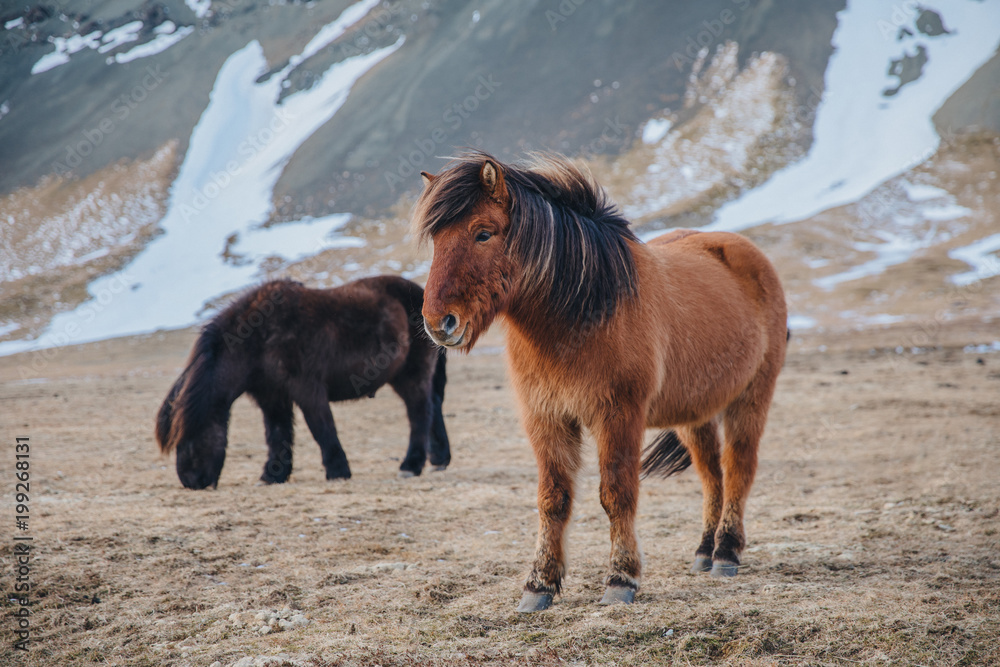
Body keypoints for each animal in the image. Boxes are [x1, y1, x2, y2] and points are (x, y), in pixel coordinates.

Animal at [155, 276, 450, 490]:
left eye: (188, 437)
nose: (191, 482)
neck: (259, 338)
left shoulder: (307, 390)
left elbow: (321, 428)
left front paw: (337, 471)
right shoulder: (272, 398)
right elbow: (277, 434)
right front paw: (273, 475)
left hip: (411, 378)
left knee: (420, 414)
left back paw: (411, 466)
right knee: (433, 408)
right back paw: (439, 460)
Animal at [414, 154, 788, 612]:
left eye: (482, 232)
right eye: (436, 240)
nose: (438, 323)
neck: (583, 311)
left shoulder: (618, 416)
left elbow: (616, 494)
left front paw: (621, 579)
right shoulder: (546, 419)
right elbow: (552, 500)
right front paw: (539, 586)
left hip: (750, 399)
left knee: (738, 469)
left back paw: (727, 553)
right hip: (695, 414)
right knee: (710, 476)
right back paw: (704, 551)